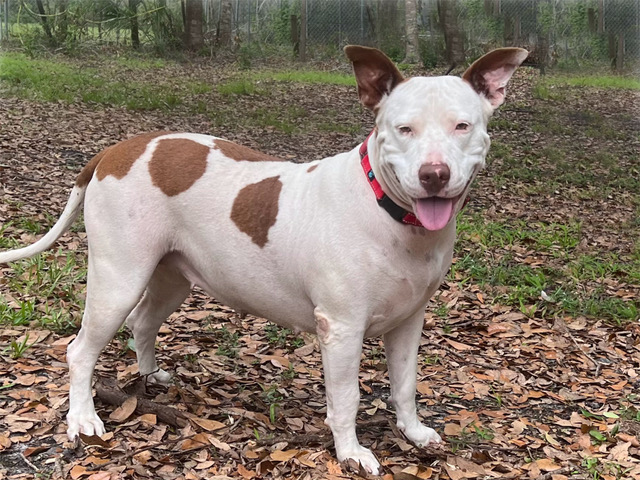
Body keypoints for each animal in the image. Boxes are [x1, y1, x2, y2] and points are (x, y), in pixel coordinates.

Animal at [0, 47, 524, 474]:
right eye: (404, 129)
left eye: (462, 126)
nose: (434, 174)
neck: (391, 213)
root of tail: (114, 150)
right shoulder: (342, 329)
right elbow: (346, 399)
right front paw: (351, 452)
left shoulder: (410, 321)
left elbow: (406, 385)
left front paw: (413, 434)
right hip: (118, 278)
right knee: (80, 350)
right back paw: (83, 419)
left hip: (171, 277)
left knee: (143, 322)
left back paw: (151, 377)